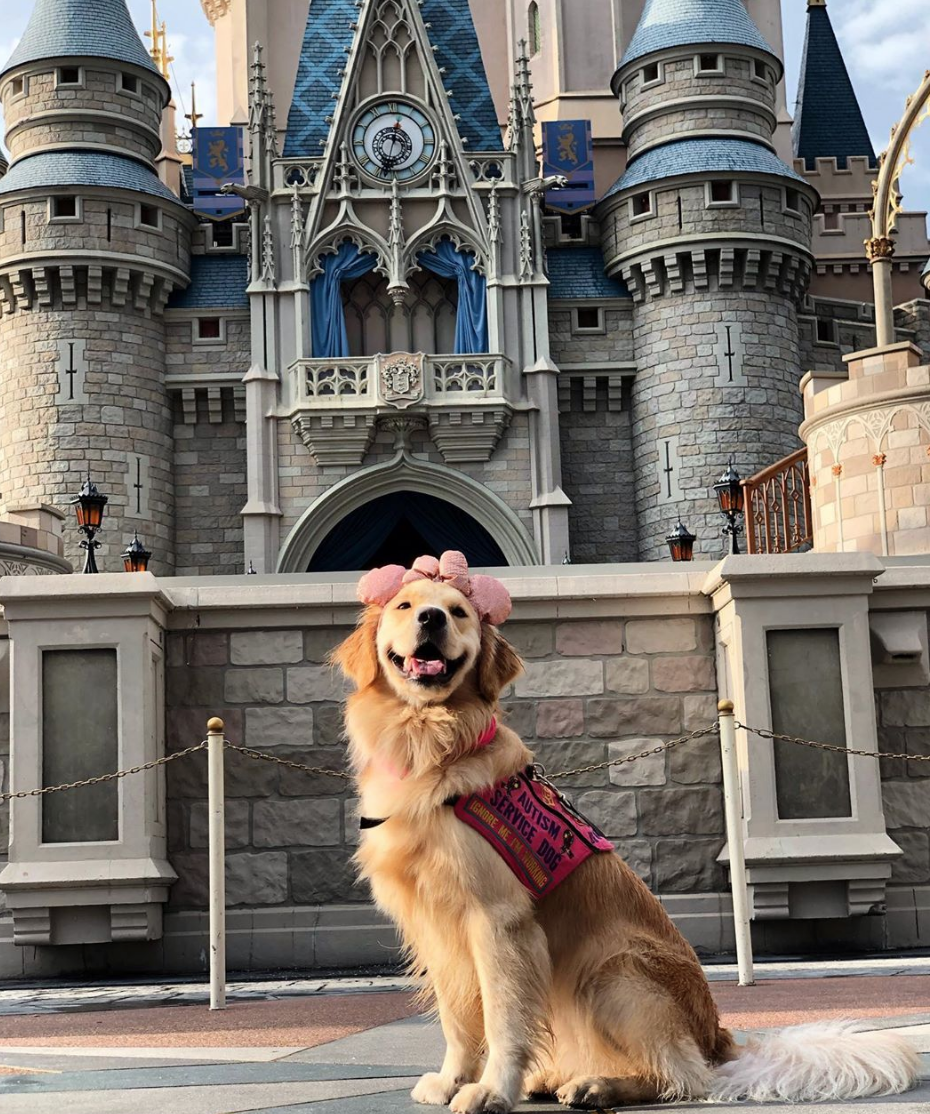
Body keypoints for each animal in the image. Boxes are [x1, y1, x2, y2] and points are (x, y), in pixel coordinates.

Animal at [336, 552, 922, 1109]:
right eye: (405, 606)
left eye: (458, 612)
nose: (432, 618)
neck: (429, 743)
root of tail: (718, 1036)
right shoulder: (437, 927)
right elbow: (458, 1019)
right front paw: (453, 1080)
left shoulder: (498, 920)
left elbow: (504, 1019)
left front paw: (492, 1091)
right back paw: (557, 1078)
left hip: (609, 970)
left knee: (682, 1077)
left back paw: (599, 1086)